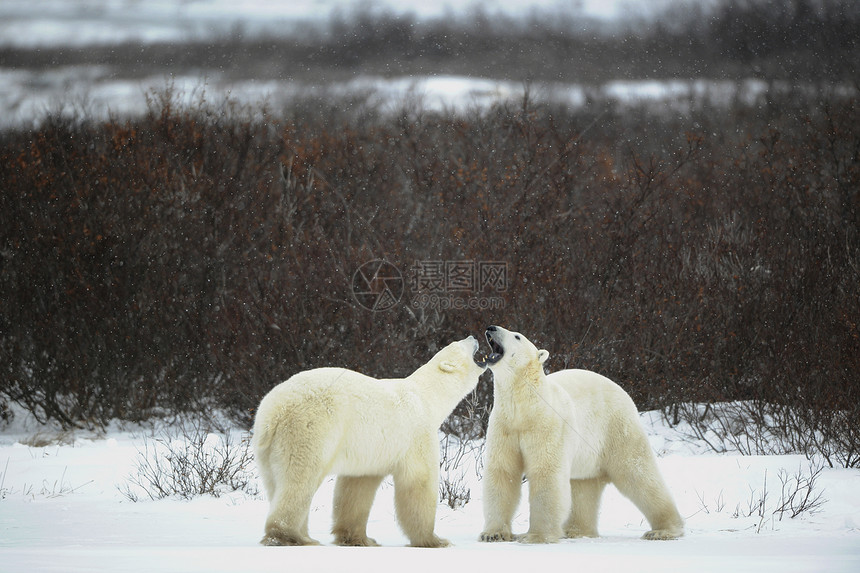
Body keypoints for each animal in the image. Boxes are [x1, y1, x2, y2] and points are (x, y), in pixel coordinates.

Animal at [252, 336, 488, 544]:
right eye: (460, 343)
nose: (473, 336)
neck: (428, 397)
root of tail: (274, 411)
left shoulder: (371, 450)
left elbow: (358, 487)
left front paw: (359, 539)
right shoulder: (417, 433)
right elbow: (419, 482)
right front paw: (434, 540)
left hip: (268, 449)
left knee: (275, 484)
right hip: (310, 429)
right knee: (300, 479)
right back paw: (288, 536)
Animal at [478, 326, 684, 540]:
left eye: (517, 336)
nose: (491, 328)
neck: (526, 407)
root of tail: (624, 392)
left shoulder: (546, 426)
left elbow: (546, 473)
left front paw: (536, 536)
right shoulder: (505, 426)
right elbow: (502, 471)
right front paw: (493, 534)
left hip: (616, 427)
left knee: (638, 474)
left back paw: (663, 530)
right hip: (589, 453)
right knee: (583, 487)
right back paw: (576, 531)